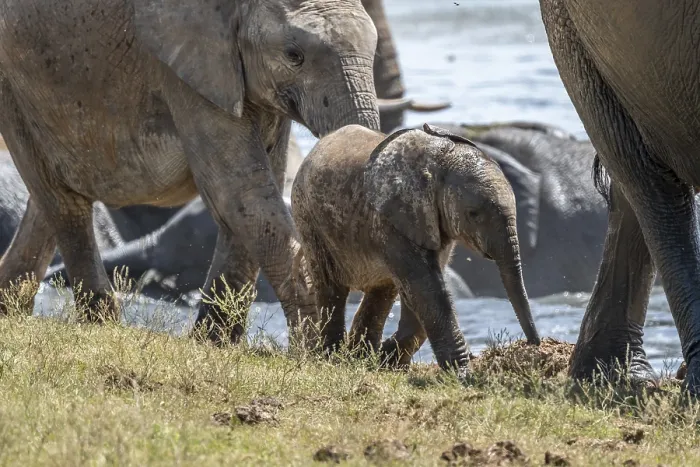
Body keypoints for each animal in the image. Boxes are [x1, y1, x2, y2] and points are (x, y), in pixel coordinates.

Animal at [0, 0, 414, 344]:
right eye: (293, 55)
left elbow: (255, 188)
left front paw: (214, 342)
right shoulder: (188, 67)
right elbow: (239, 190)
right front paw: (315, 346)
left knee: (53, 192)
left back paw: (11, 307)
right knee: (59, 196)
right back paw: (100, 322)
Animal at [291, 123, 540, 371]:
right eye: (473, 214)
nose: (533, 344)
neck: (440, 160)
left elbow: (420, 290)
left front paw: (386, 360)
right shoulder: (391, 219)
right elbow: (425, 287)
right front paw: (461, 372)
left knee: (383, 291)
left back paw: (361, 357)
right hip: (307, 218)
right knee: (331, 287)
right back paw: (334, 358)